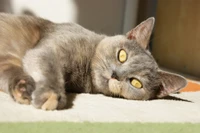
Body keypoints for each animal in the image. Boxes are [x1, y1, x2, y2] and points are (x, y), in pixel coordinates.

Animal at [0, 13, 188, 110]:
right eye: (122, 55)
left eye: (136, 82)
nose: (115, 75)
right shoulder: (49, 49)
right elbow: (49, 67)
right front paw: (51, 94)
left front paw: (24, 90)